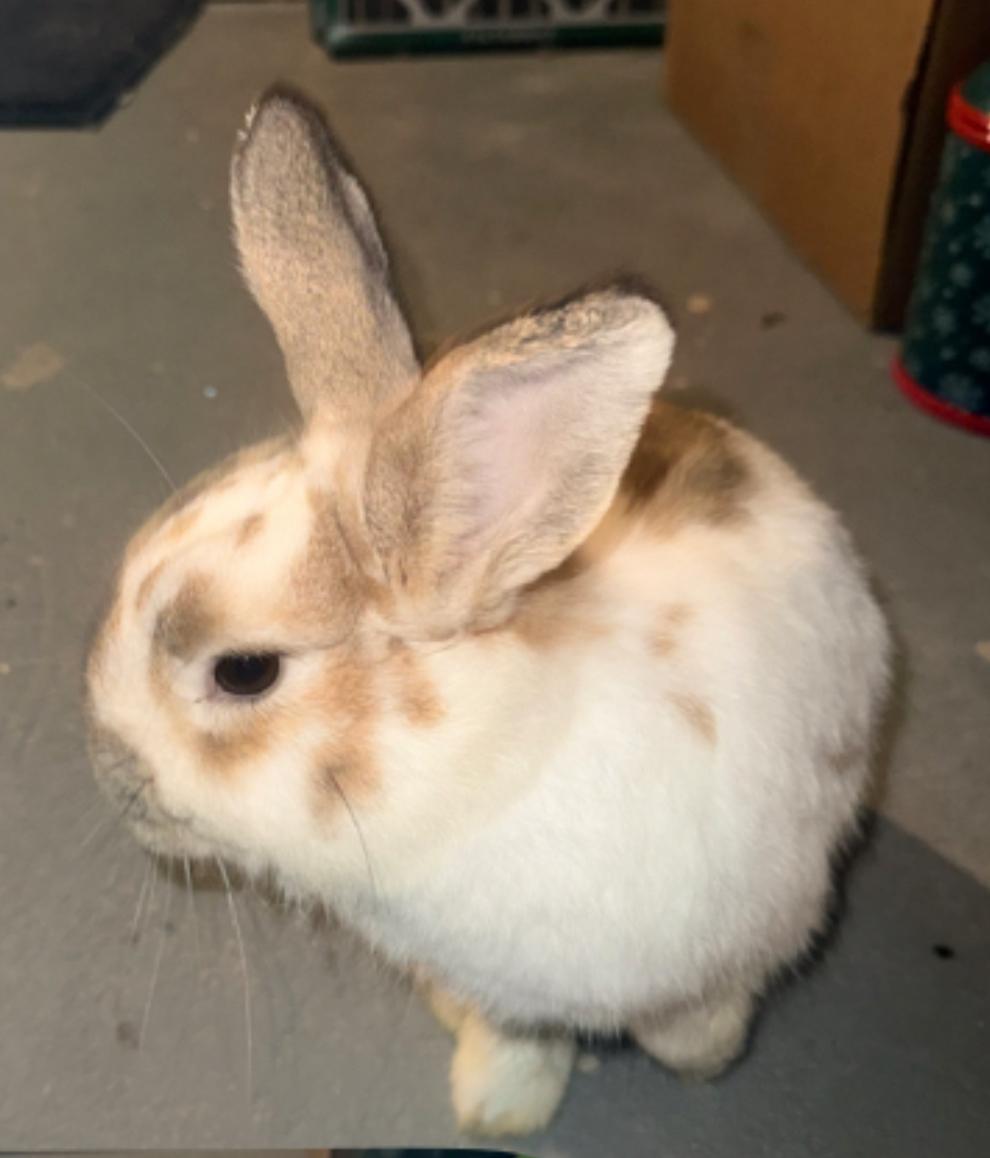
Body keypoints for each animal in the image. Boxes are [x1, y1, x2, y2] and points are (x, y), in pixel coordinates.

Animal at [86, 88, 890, 1138]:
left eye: (244, 671)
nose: (110, 776)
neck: (483, 782)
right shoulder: (507, 986)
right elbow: (517, 1034)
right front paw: (498, 1106)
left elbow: (689, 1024)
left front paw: (707, 1061)